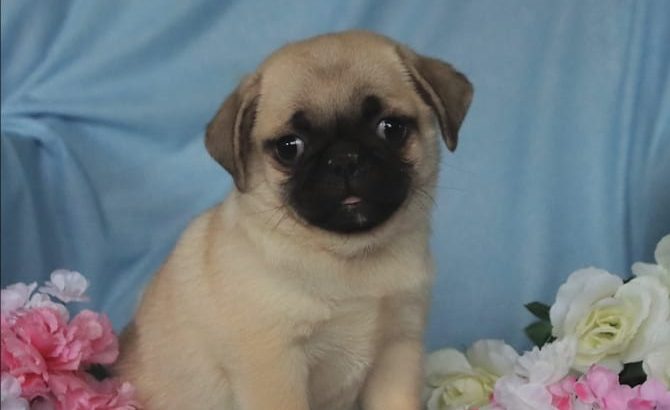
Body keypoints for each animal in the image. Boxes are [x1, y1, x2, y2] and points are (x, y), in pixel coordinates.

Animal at [117, 31, 472, 410]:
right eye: (289, 147)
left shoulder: (398, 349)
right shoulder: (275, 367)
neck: (350, 258)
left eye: (391, 128)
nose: (344, 158)